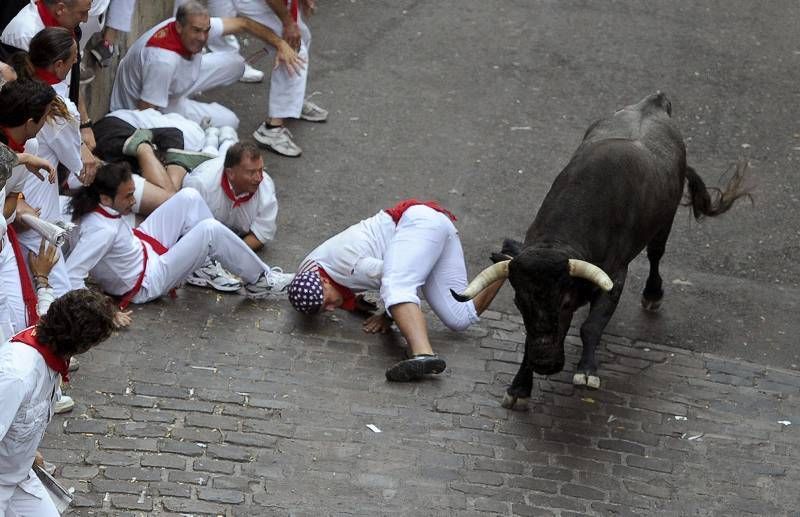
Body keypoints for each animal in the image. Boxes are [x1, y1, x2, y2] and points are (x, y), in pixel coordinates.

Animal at [456, 91, 752, 408]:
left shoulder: (615, 276)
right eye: (519, 303)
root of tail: (656, 100)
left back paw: (652, 295)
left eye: (565, 301)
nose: (544, 364)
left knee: (656, 255)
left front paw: (586, 371)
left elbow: (592, 326)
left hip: (664, 223)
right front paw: (520, 387)